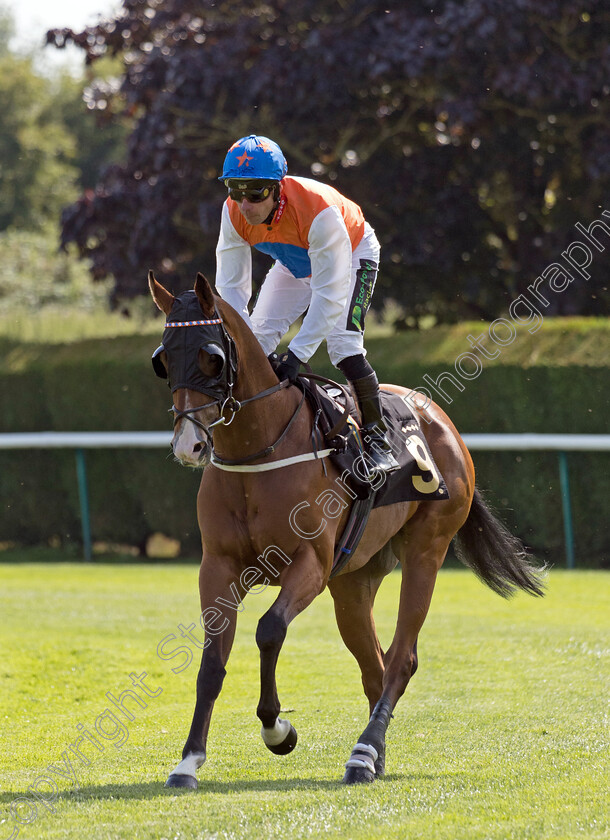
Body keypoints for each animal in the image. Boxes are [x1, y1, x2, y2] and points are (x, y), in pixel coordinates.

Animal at [147, 270, 540, 788]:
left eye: (211, 357)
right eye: (164, 359)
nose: (189, 444)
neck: (259, 451)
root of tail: (441, 420)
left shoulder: (310, 565)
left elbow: (269, 630)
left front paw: (278, 730)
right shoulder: (218, 567)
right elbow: (212, 662)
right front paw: (189, 760)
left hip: (426, 552)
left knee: (401, 659)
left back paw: (364, 752)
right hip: (353, 583)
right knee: (375, 665)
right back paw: (373, 755)